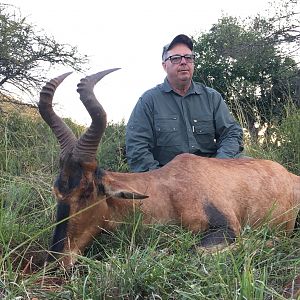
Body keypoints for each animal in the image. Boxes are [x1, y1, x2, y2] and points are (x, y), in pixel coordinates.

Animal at [38, 69, 300, 266]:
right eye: (56, 191)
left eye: (87, 191)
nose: (55, 261)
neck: (168, 187)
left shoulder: (228, 229)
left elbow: (193, 251)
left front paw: (266, 243)